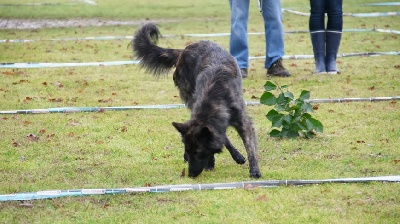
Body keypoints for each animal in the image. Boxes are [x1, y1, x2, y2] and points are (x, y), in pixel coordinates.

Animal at [133, 23, 260, 178]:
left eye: (198, 153)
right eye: (188, 150)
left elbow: (250, 147)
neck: (214, 98)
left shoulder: (243, 122)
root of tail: (184, 50)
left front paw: (254, 170)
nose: (190, 174)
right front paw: (211, 163)